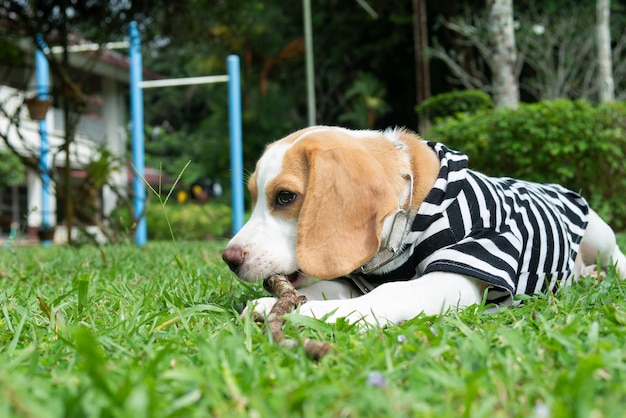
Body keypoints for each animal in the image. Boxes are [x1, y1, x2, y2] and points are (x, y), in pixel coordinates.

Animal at [222, 125, 620, 328]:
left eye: (285, 197)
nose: (228, 258)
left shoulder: (463, 268)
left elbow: (389, 294)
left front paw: (308, 314)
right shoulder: (352, 281)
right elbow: (323, 289)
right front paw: (274, 303)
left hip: (598, 233)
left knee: (617, 256)